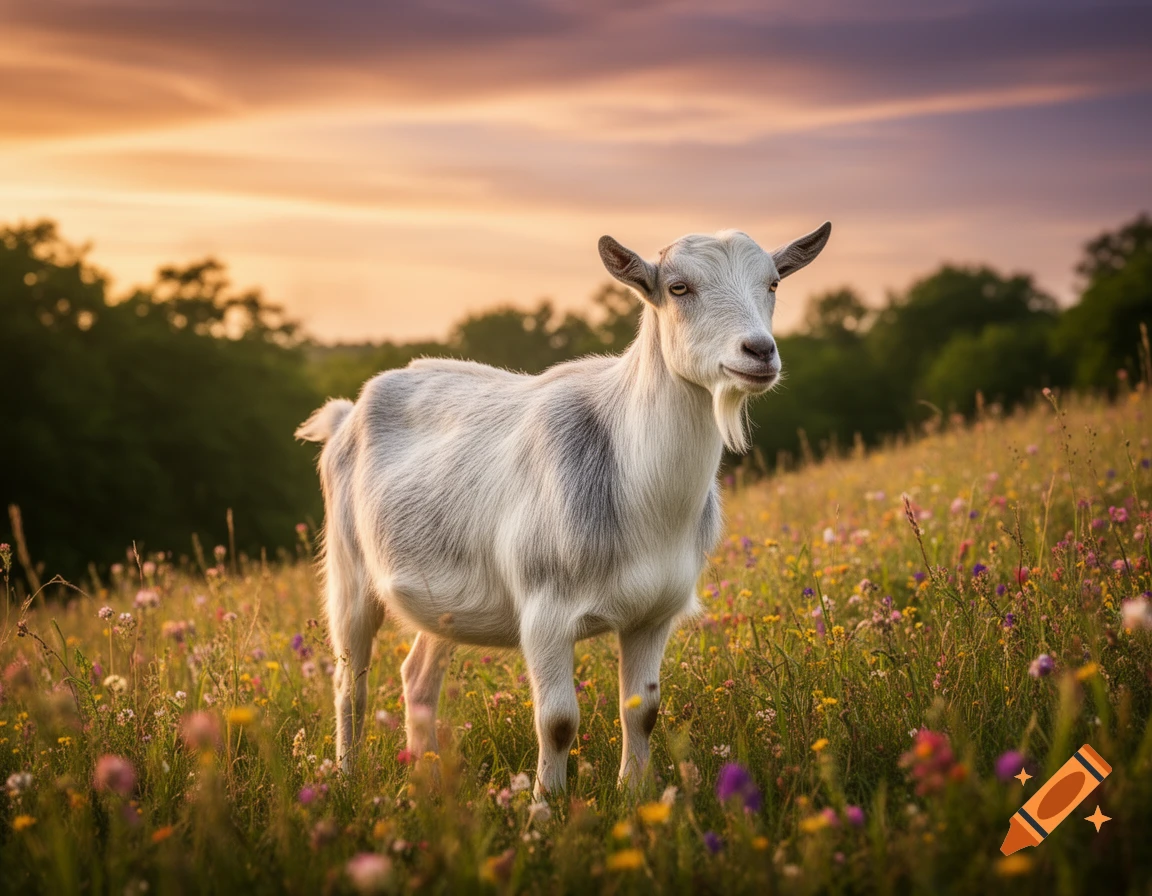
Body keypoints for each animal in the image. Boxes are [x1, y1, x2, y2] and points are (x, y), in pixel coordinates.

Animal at [296, 223, 831, 794]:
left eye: (773, 283)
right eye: (679, 288)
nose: (759, 351)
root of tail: (345, 414)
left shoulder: (654, 613)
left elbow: (643, 712)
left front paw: (635, 794)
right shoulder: (544, 613)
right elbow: (556, 721)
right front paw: (545, 804)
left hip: (443, 600)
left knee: (417, 675)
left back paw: (430, 779)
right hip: (348, 571)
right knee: (349, 681)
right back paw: (347, 777)